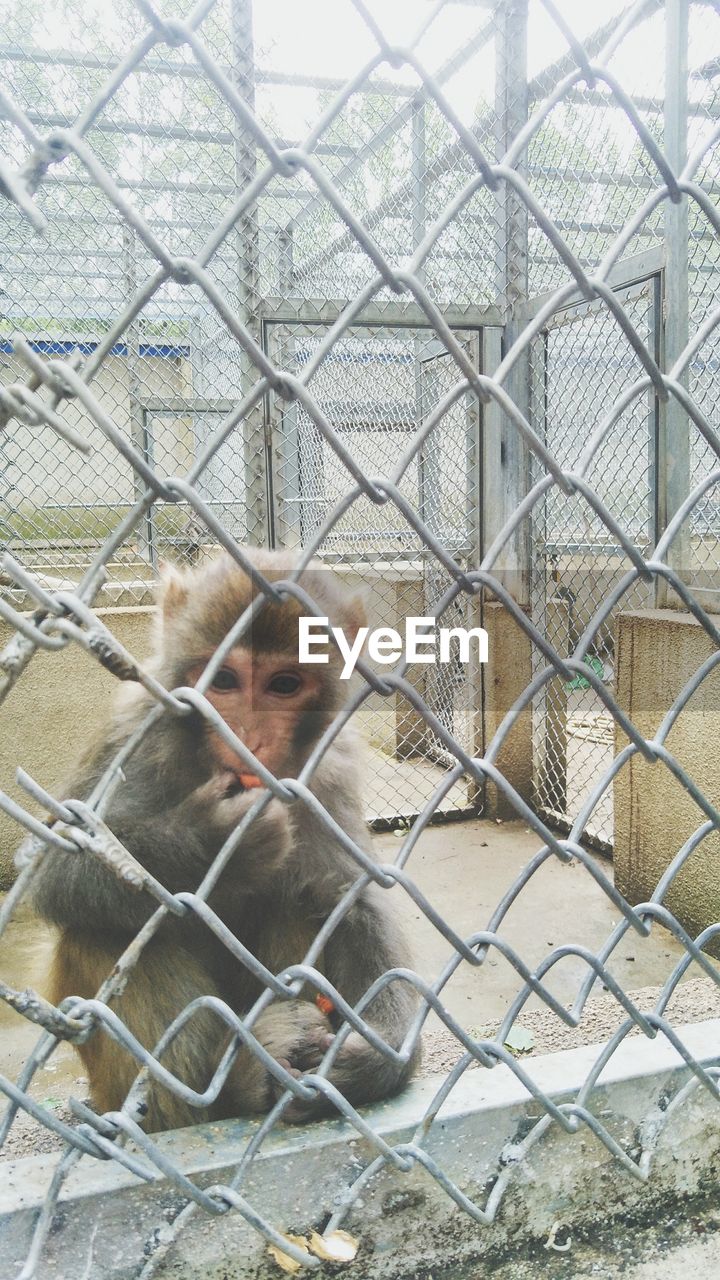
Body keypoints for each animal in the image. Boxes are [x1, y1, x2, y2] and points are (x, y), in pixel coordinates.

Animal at [29, 550, 420, 1131]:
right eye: (226, 680)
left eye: (284, 685)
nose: (249, 739)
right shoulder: (137, 729)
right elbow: (55, 867)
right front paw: (217, 845)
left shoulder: (331, 768)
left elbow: (352, 898)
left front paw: (377, 1055)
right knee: (103, 931)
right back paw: (226, 1089)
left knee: (300, 899)